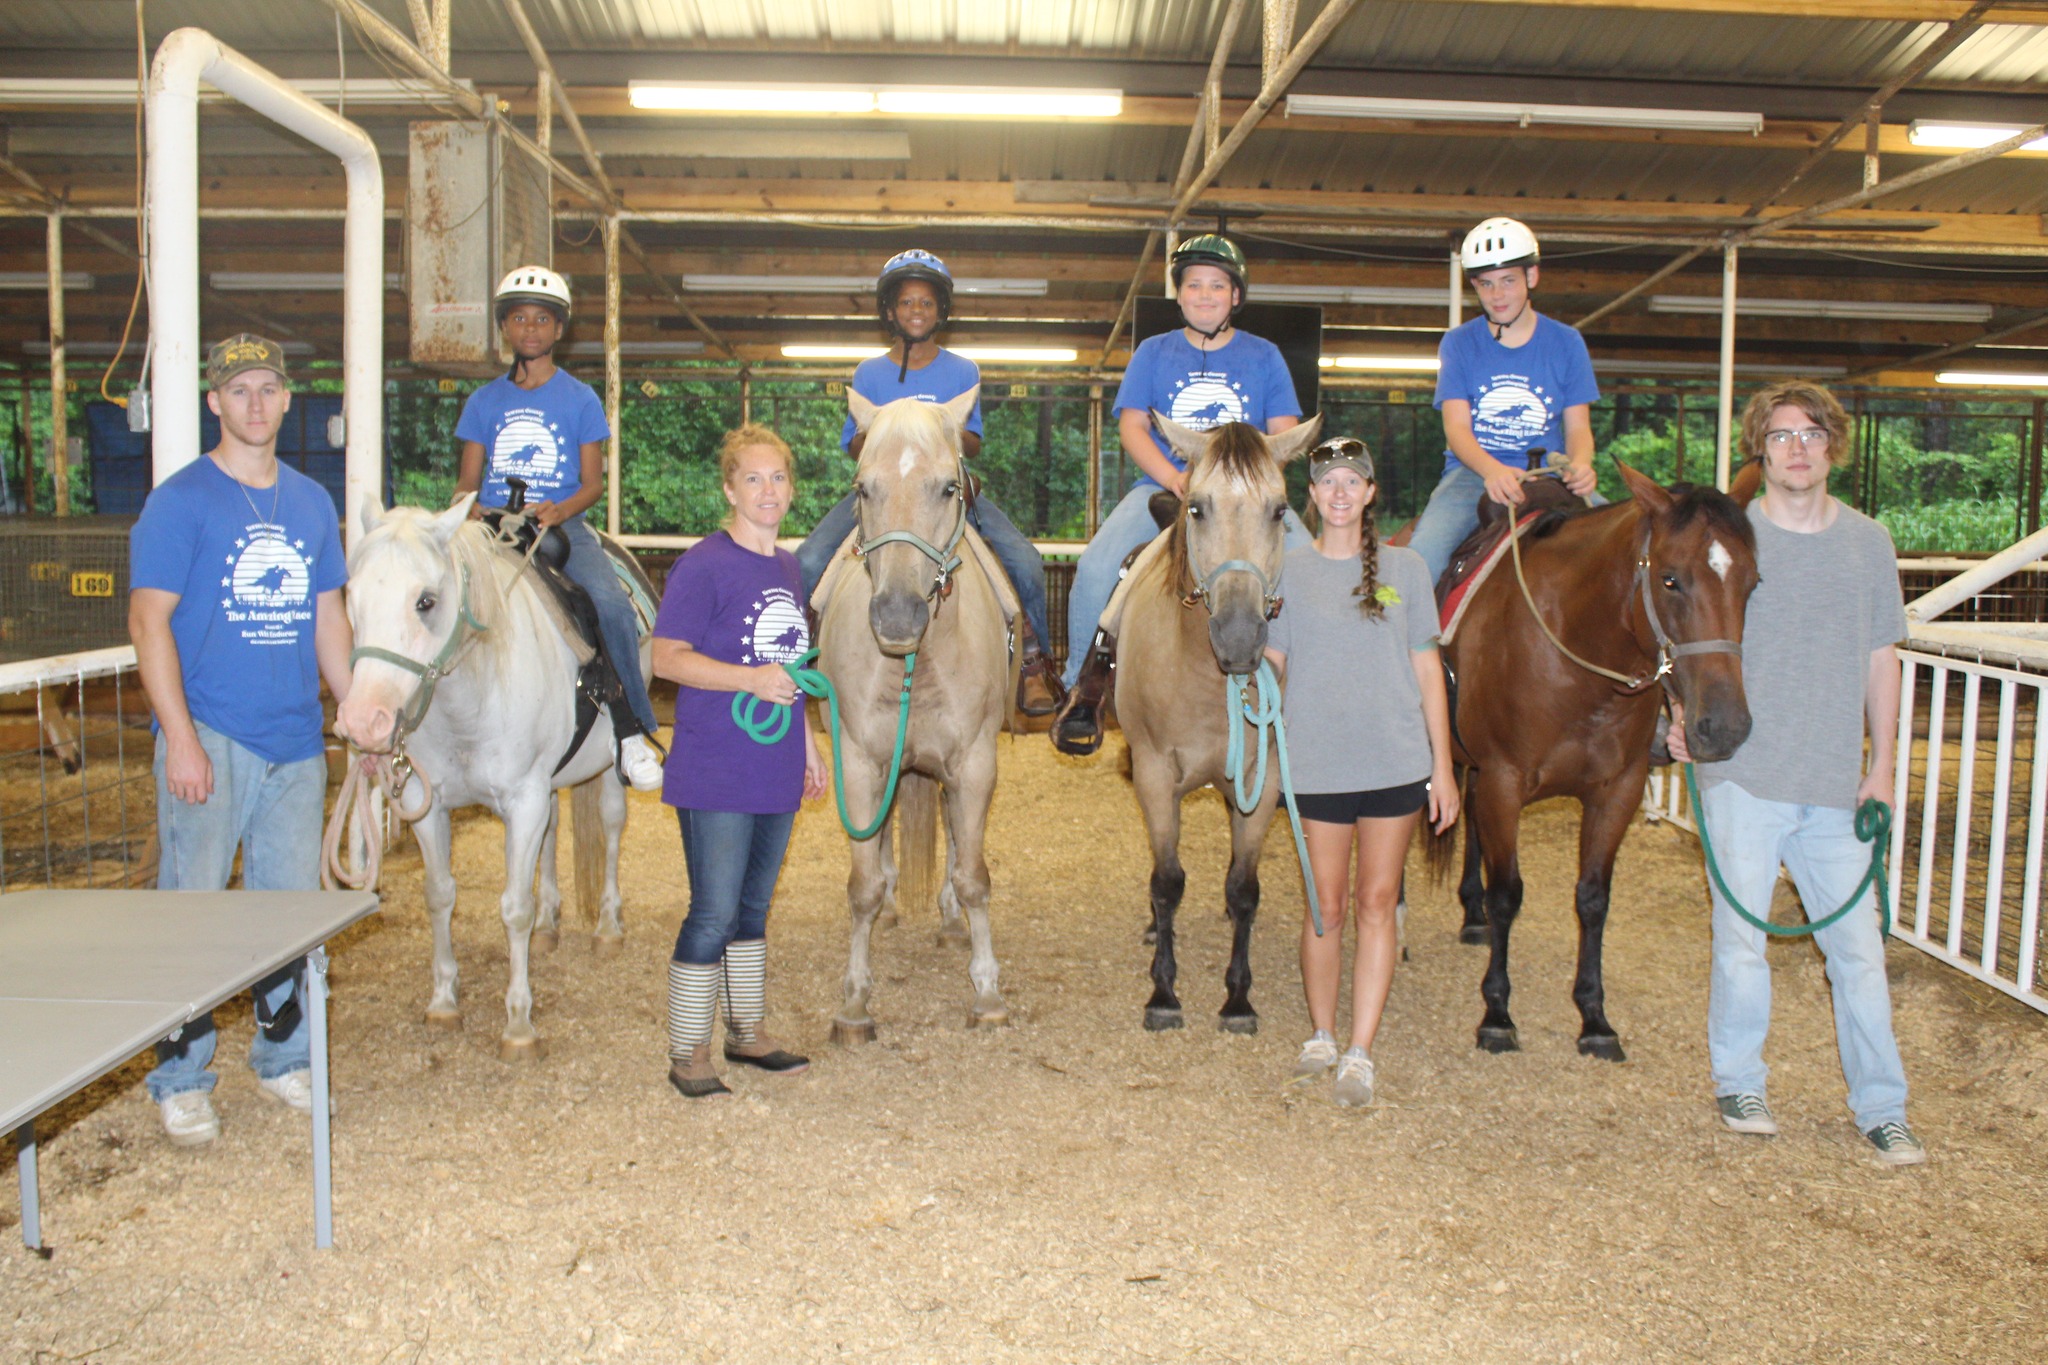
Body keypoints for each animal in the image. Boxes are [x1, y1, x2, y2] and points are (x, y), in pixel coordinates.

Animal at [333, 497, 647, 1064]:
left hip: (604, 768)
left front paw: (519, 1024)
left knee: (612, 826)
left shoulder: (523, 800)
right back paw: (549, 926)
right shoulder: (428, 802)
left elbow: (513, 908)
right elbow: (440, 895)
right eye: (353, 595)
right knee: (552, 834)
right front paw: (443, 1002)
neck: (469, 700)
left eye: (427, 601)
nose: (363, 721)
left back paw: (608, 928)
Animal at [815, 388, 1007, 1039]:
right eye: (862, 487)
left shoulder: (974, 765)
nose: (896, 616)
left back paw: (948, 920)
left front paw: (987, 992)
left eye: (949, 487)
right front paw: (853, 1001)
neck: (914, 665)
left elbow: (973, 876)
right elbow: (861, 885)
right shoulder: (858, 762)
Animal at [1114, 411, 1318, 1031]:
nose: (1239, 636)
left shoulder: (1263, 781)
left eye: (1279, 510)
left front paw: (1237, 998)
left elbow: (1243, 888)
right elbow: (1167, 881)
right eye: (1198, 508)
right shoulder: (1156, 777)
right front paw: (1163, 992)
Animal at [1441, 464, 1761, 1064]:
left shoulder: (1619, 789)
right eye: (1670, 580)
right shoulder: (1504, 783)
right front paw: (1497, 1014)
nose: (1725, 726)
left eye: (1753, 582)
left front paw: (1594, 1017)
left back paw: (1471, 916)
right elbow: (1508, 894)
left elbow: (1593, 899)